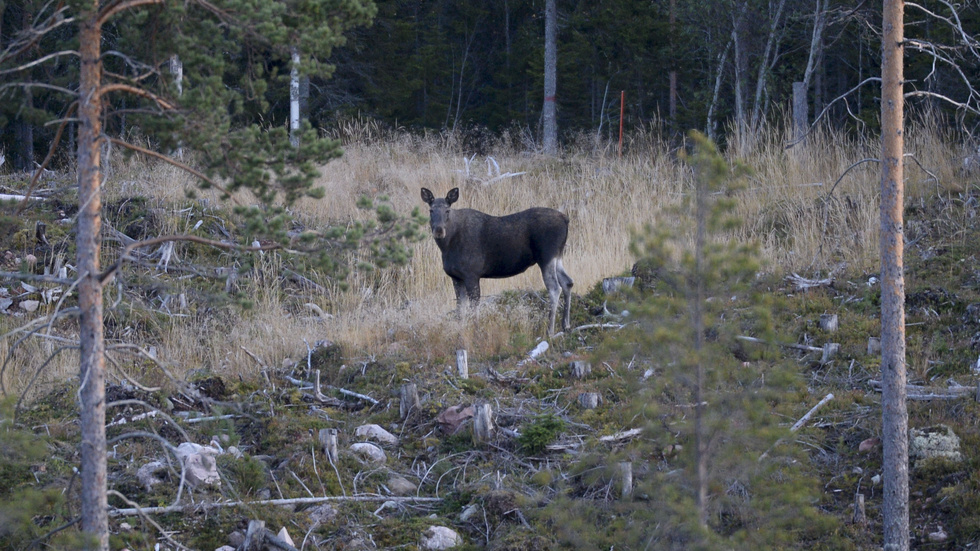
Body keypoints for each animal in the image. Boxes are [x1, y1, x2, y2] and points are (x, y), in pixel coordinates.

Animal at [422, 188, 576, 336]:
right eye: (431, 210)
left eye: (447, 210)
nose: (439, 230)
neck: (447, 246)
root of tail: (566, 219)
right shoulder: (456, 277)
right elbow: (460, 310)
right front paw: (461, 333)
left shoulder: (471, 274)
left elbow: (474, 306)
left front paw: (477, 332)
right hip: (557, 256)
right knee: (567, 282)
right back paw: (566, 325)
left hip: (546, 256)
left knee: (555, 288)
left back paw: (550, 330)